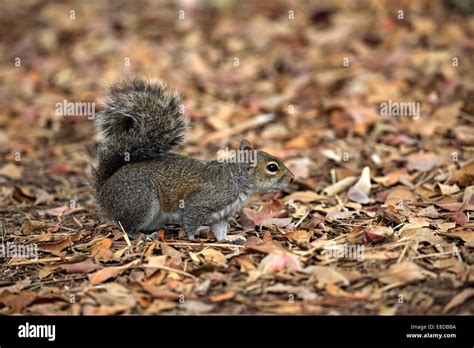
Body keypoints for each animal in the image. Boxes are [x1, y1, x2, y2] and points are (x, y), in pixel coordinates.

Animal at [90, 76, 294, 241]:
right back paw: (142, 236)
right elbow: (189, 218)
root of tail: (104, 191)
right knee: (126, 226)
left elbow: (219, 230)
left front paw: (230, 240)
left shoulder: (220, 215)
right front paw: (191, 237)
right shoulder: (201, 202)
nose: (292, 178)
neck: (238, 180)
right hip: (141, 201)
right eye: (272, 167)